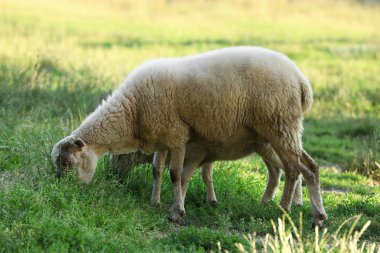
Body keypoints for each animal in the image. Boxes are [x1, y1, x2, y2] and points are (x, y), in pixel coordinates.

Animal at [52, 46, 328, 226]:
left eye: (67, 162)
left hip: (279, 125)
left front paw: (176, 211)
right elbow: (157, 170)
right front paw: (155, 202)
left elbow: (176, 175)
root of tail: (301, 81)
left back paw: (290, 210)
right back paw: (309, 214)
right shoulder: (162, 138)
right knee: (303, 167)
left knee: (297, 168)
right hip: (280, 130)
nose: (65, 190)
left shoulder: (177, 135)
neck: (133, 111)